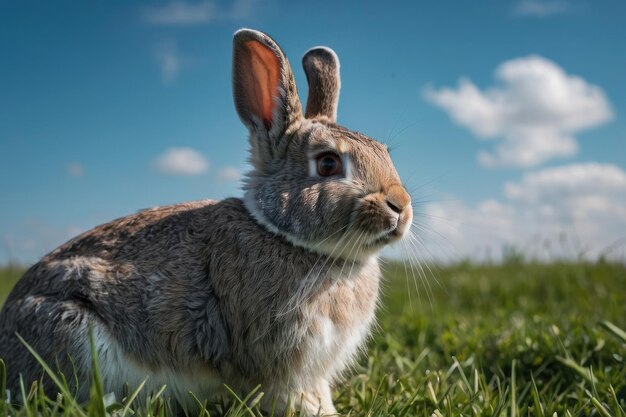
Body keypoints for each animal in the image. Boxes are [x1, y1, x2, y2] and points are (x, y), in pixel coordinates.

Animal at [0, 27, 410, 414]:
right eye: (327, 164)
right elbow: (292, 395)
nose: (401, 207)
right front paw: (318, 413)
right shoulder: (282, 365)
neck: (282, 235)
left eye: (384, 152)